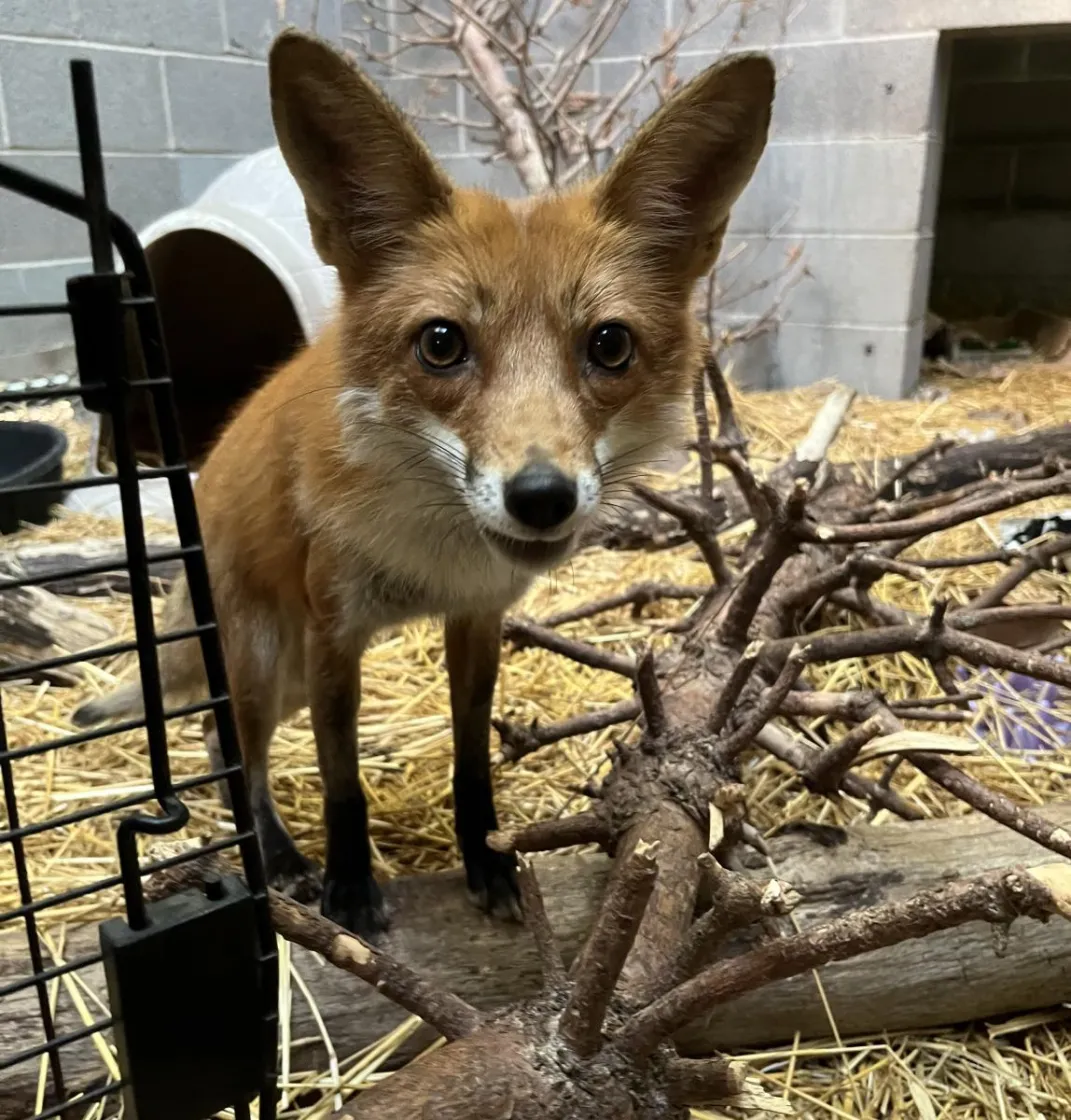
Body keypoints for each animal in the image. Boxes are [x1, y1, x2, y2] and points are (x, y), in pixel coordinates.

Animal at [73, 30, 774, 938]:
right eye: (441, 344)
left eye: (610, 346)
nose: (541, 496)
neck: (432, 555)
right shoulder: (334, 633)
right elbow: (341, 781)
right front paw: (348, 887)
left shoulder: (476, 619)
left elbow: (470, 760)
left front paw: (488, 859)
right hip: (265, 659)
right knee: (233, 753)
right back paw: (278, 857)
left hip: (281, 673)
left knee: (220, 745)